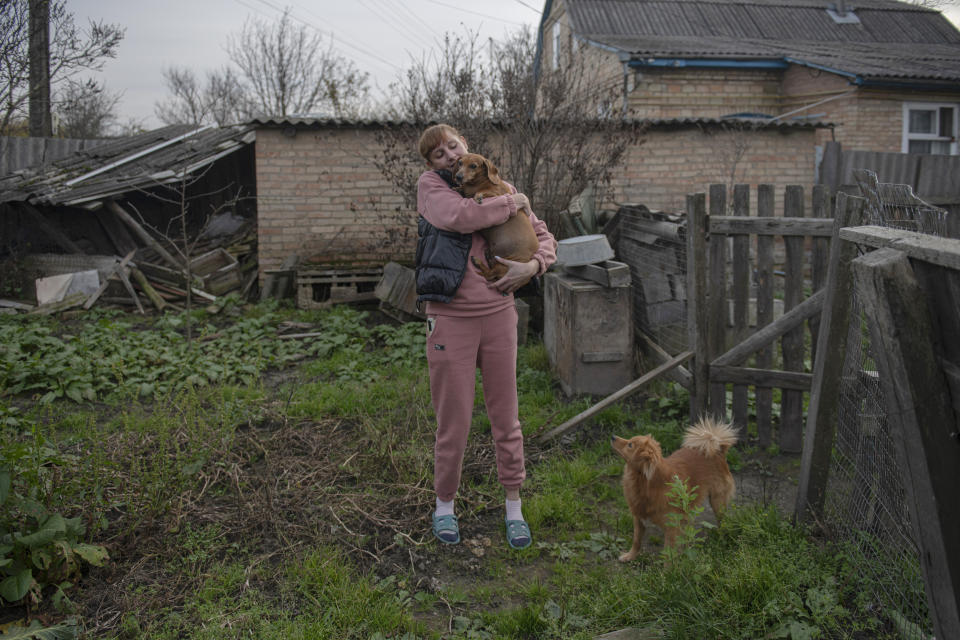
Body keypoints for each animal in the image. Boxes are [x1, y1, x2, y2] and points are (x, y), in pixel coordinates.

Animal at [452, 152, 536, 282]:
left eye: (473, 166)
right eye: (460, 163)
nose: (458, 177)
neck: (477, 183)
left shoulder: (496, 193)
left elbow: (482, 192)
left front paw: (478, 196)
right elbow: (463, 190)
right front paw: (457, 188)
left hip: (506, 264)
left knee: (489, 274)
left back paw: (478, 262)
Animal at [612, 416, 740, 560]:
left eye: (630, 445)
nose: (612, 436)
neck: (646, 483)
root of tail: (718, 450)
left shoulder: (672, 528)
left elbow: (669, 555)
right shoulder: (638, 518)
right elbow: (636, 541)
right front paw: (630, 556)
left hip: (717, 502)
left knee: (722, 522)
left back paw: (720, 539)